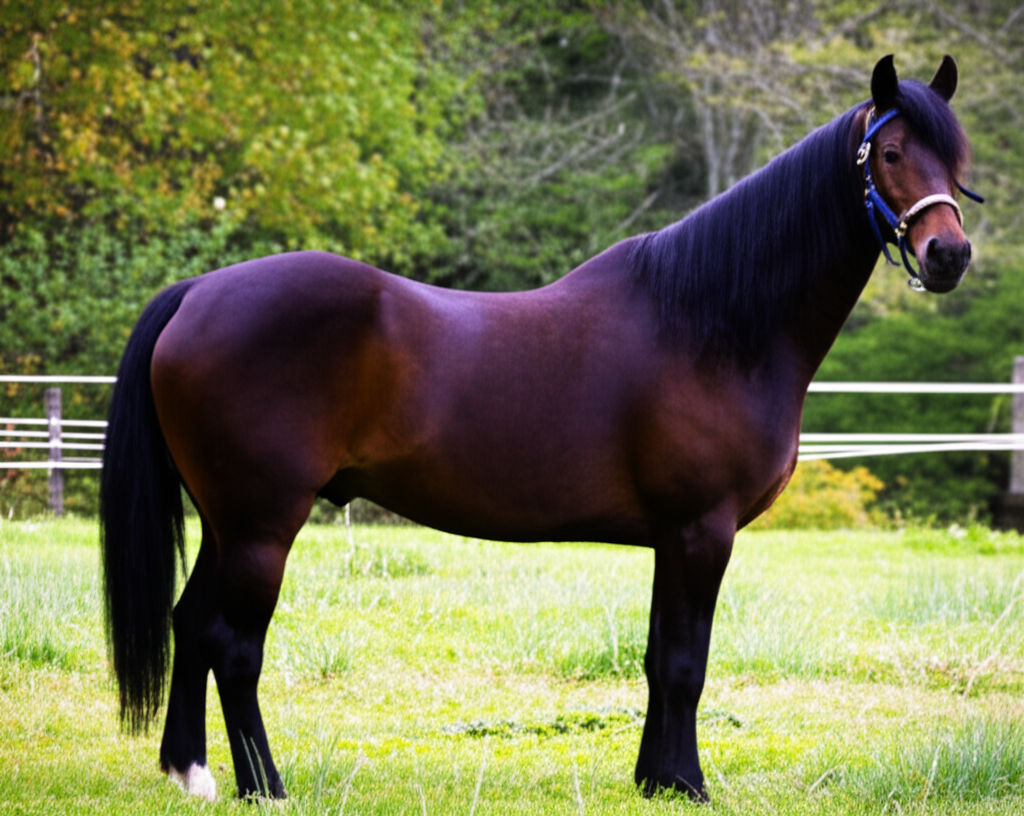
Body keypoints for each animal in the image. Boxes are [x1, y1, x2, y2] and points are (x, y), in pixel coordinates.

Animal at [100, 55, 979, 801]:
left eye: (956, 159)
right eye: (890, 153)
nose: (949, 256)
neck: (712, 322)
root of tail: (196, 292)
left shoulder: (672, 537)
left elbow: (658, 659)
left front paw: (654, 780)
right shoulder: (702, 528)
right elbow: (686, 663)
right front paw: (687, 785)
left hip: (224, 520)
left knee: (190, 624)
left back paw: (192, 774)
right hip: (262, 524)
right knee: (233, 645)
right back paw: (265, 786)